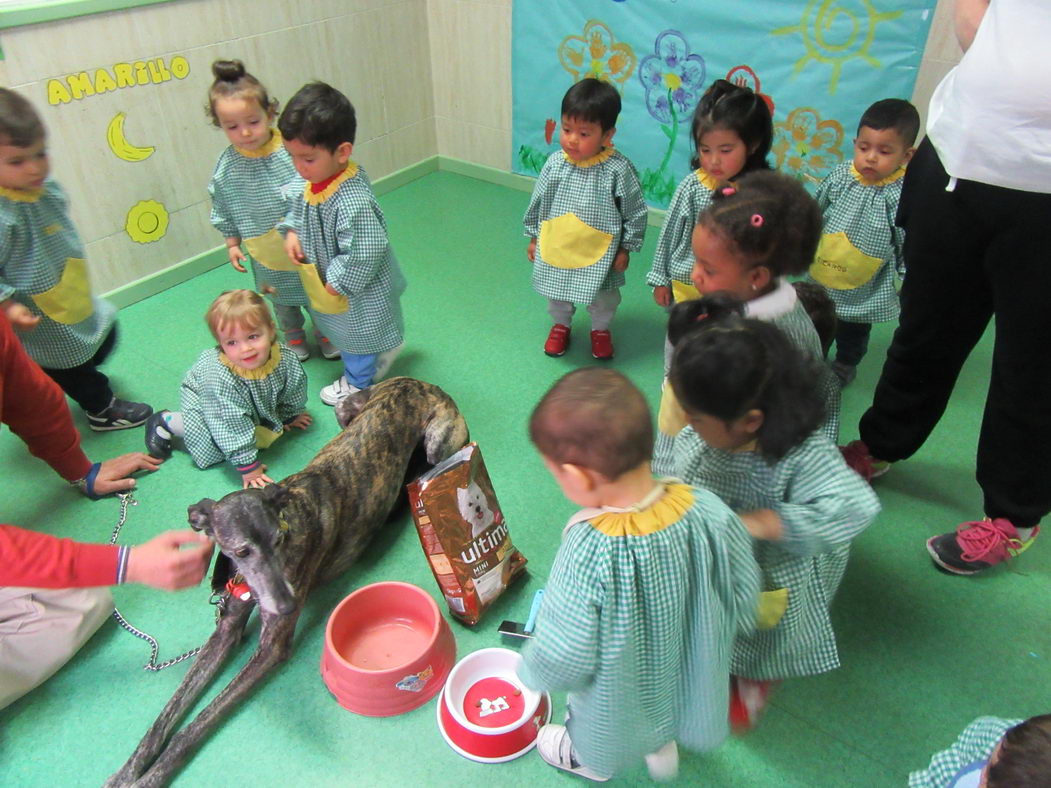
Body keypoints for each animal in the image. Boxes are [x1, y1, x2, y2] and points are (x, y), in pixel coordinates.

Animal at [106, 380, 468, 785]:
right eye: (241, 550)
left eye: (279, 539)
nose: (287, 606)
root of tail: (417, 383)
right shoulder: (226, 629)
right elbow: (166, 716)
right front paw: (127, 772)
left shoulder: (271, 648)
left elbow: (192, 727)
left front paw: (151, 776)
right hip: (345, 410)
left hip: (436, 440)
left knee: (425, 466)